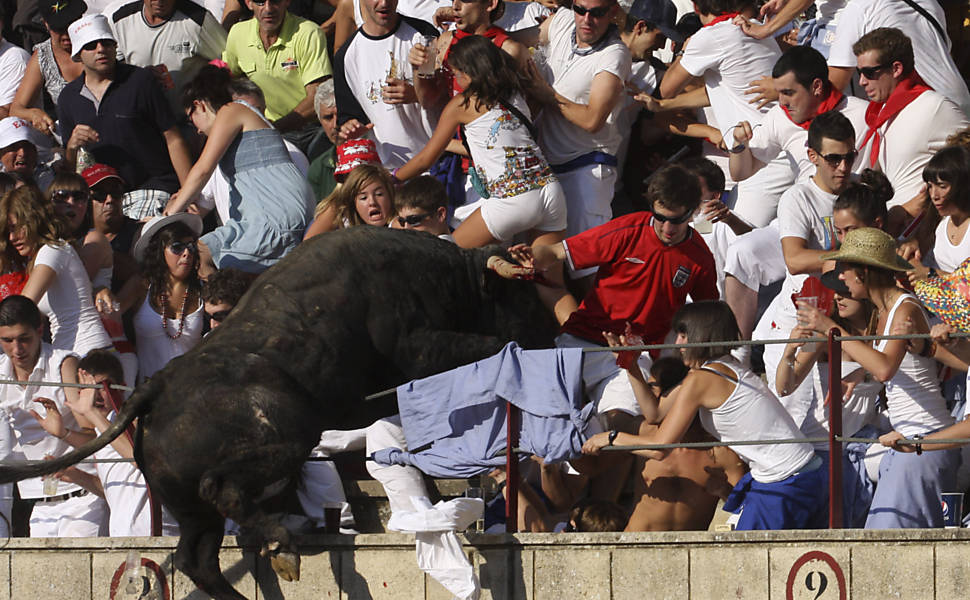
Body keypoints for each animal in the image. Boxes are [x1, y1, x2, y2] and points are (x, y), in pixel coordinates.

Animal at [0, 227, 556, 596]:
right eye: (523, 296)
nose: (553, 338)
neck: (443, 276)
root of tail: (158, 384)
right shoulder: (418, 347)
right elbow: (486, 343)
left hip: (189, 506)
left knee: (196, 558)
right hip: (288, 436)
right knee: (222, 492)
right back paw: (284, 542)